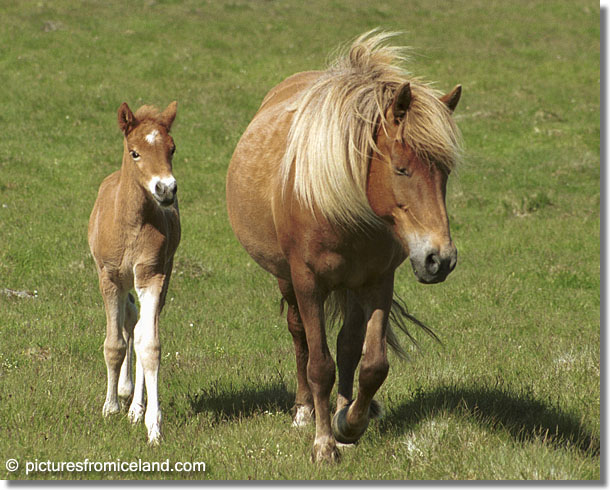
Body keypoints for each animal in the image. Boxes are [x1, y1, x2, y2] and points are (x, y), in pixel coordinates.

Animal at [88, 100, 179, 444]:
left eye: (172, 149)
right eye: (134, 152)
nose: (166, 189)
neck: (130, 223)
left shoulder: (152, 276)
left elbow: (148, 345)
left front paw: (152, 425)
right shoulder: (110, 278)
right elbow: (114, 344)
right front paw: (110, 407)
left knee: (138, 328)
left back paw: (135, 407)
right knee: (128, 318)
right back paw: (124, 393)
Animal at [227, 31, 460, 464]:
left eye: (446, 171)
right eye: (401, 168)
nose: (440, 259)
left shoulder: (378, 282)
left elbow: (371, 364)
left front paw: (349, 424)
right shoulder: (308, 283)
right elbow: (320, 364)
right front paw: (323, 443)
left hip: (353, 287)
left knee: (348, 347)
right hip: (287, 279)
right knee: (300, 337)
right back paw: (304, 410)